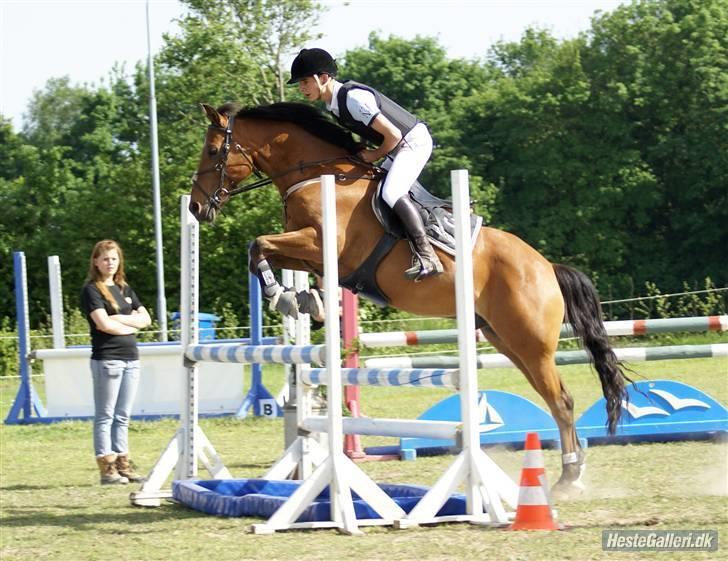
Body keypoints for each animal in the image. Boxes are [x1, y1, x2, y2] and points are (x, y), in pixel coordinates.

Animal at [191, 100, 636, 498]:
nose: (196, 207)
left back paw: (569, 479)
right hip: (507, 341)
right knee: (553, 398)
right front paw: (303, 299)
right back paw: (569, 474)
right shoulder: (307, 250)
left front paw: (280, 295)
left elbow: (259, 244)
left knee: (561, 400)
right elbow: (265, 252)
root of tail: (546, 268)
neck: (316, 175)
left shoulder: (321, 243)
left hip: (531, 343)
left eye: (212, 151)